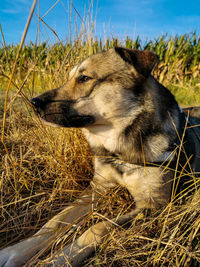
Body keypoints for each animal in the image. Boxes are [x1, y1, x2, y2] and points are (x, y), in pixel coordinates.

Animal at [0, 47, 200, 266]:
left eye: (84, 78)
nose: (33, 103)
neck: (119, 150)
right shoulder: (98, 187)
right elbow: (55, 222)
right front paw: (13, 252)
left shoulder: (155, 205)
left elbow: (99, 227)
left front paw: (58, 259)